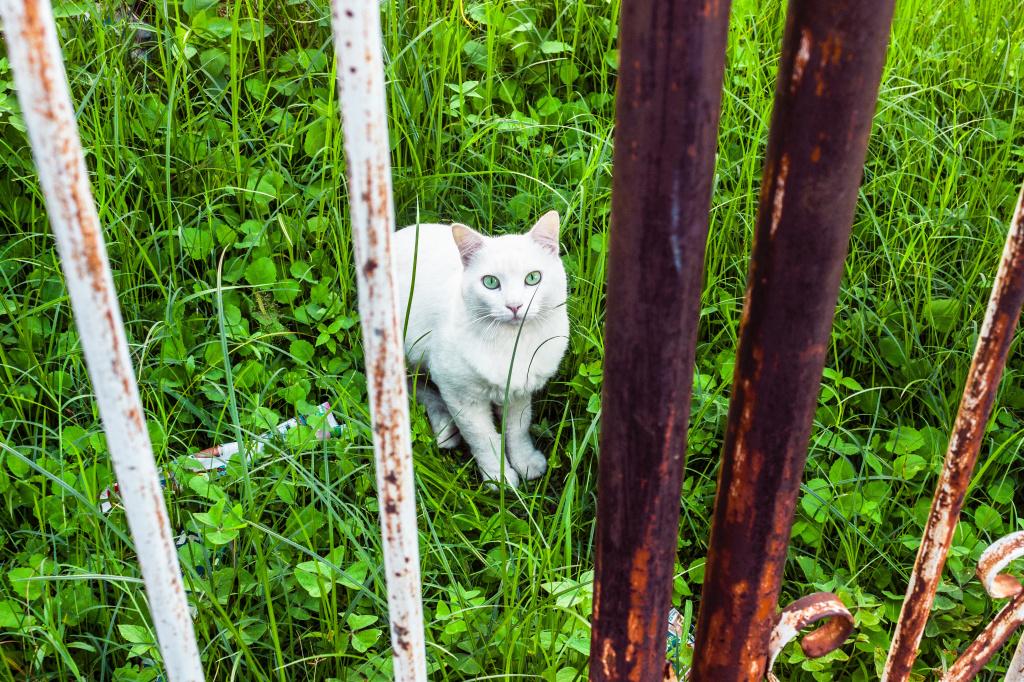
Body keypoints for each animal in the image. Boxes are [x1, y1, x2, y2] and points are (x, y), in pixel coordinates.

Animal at [393, 210, 569, 483]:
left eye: (533, 278)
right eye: (490, 283)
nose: (514, 306)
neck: (512, 343)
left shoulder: (520, 392)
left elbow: (518, 430)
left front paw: (525, 462)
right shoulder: (462, 398)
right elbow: (484, 440)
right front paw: (499, 479)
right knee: (418, 390)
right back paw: (445, 427)